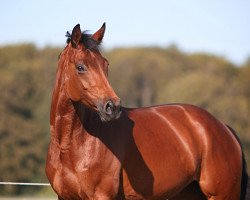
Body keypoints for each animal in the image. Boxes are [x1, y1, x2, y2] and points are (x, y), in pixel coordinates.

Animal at [46, 22, 248, 199]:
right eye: (80, 67)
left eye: (105, 65)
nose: (112, 107)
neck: (71, 146)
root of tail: (223, 127)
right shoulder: (64, 197)